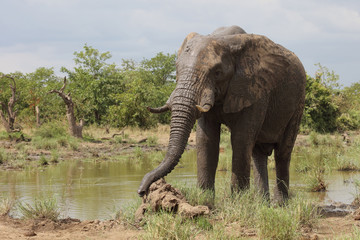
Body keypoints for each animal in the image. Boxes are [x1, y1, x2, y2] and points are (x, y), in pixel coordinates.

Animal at [136, 25, 306, 202]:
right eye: (177, 68)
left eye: (217, 72)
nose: (142, 192)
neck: (225, 39)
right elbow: (206, 140)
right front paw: (206, 200)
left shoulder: (255, 89)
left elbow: (240, 139)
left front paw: (238, 201)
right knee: (258, 154)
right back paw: (262, 203)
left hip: (298, 102)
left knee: (282, 153)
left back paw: (280, 204)